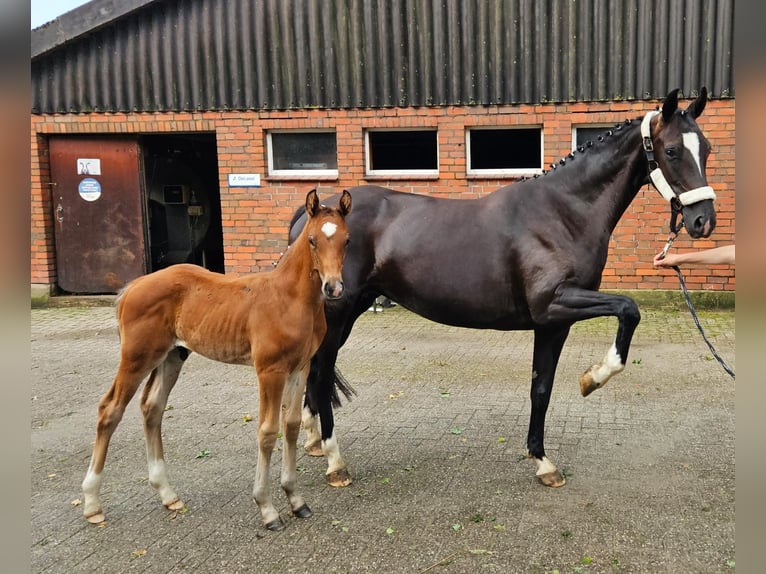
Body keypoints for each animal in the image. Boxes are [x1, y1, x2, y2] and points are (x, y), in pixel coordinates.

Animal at [82, 189, 352, 532]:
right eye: (313, 240)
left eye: (347, 239)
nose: (334, 287)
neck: (289, 298)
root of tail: (132, 286)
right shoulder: (270, 371)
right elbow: (267, 432)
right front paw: (267, 509)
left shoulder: (299, 368)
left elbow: (290, 426)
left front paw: (296, 499)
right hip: (137, 357)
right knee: (110, 410)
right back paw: (92, 503)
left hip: (171, 356)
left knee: (152, 408)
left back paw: (167, 494)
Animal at [288, 89, 720, 490]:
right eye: (672, 150)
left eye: (707, 149)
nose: (703, 221)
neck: (562, 213)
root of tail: (314, 215)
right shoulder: (555, 305)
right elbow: (629, 308)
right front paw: (593, 379)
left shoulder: (553, 323)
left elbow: (541, 387)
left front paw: (543, 462)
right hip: (338, 312)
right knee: (321, 375)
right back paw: (335, 462)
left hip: (347, 311)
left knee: (315, 371)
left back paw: (313, 442)